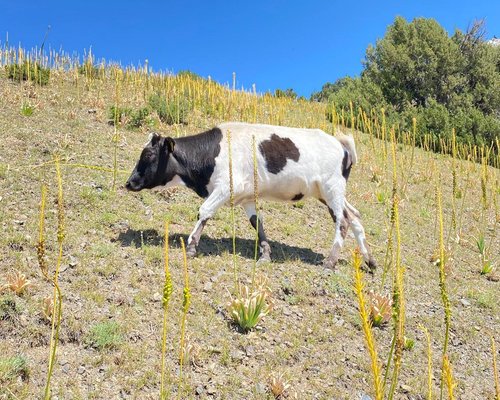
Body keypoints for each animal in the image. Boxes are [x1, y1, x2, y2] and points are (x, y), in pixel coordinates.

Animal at [125, 122, 376, 270]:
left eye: (148, 154)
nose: (129, 182)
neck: (212, 152)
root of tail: (340, 143)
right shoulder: (246, 197)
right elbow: (257, 223)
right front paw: (265, 253)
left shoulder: (226, 187)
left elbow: (204, 211)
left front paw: (192, 246)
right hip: (328, 192)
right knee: (355, 217)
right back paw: (370, 260)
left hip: (332, 188)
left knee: (342, 221)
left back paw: (330, 261)